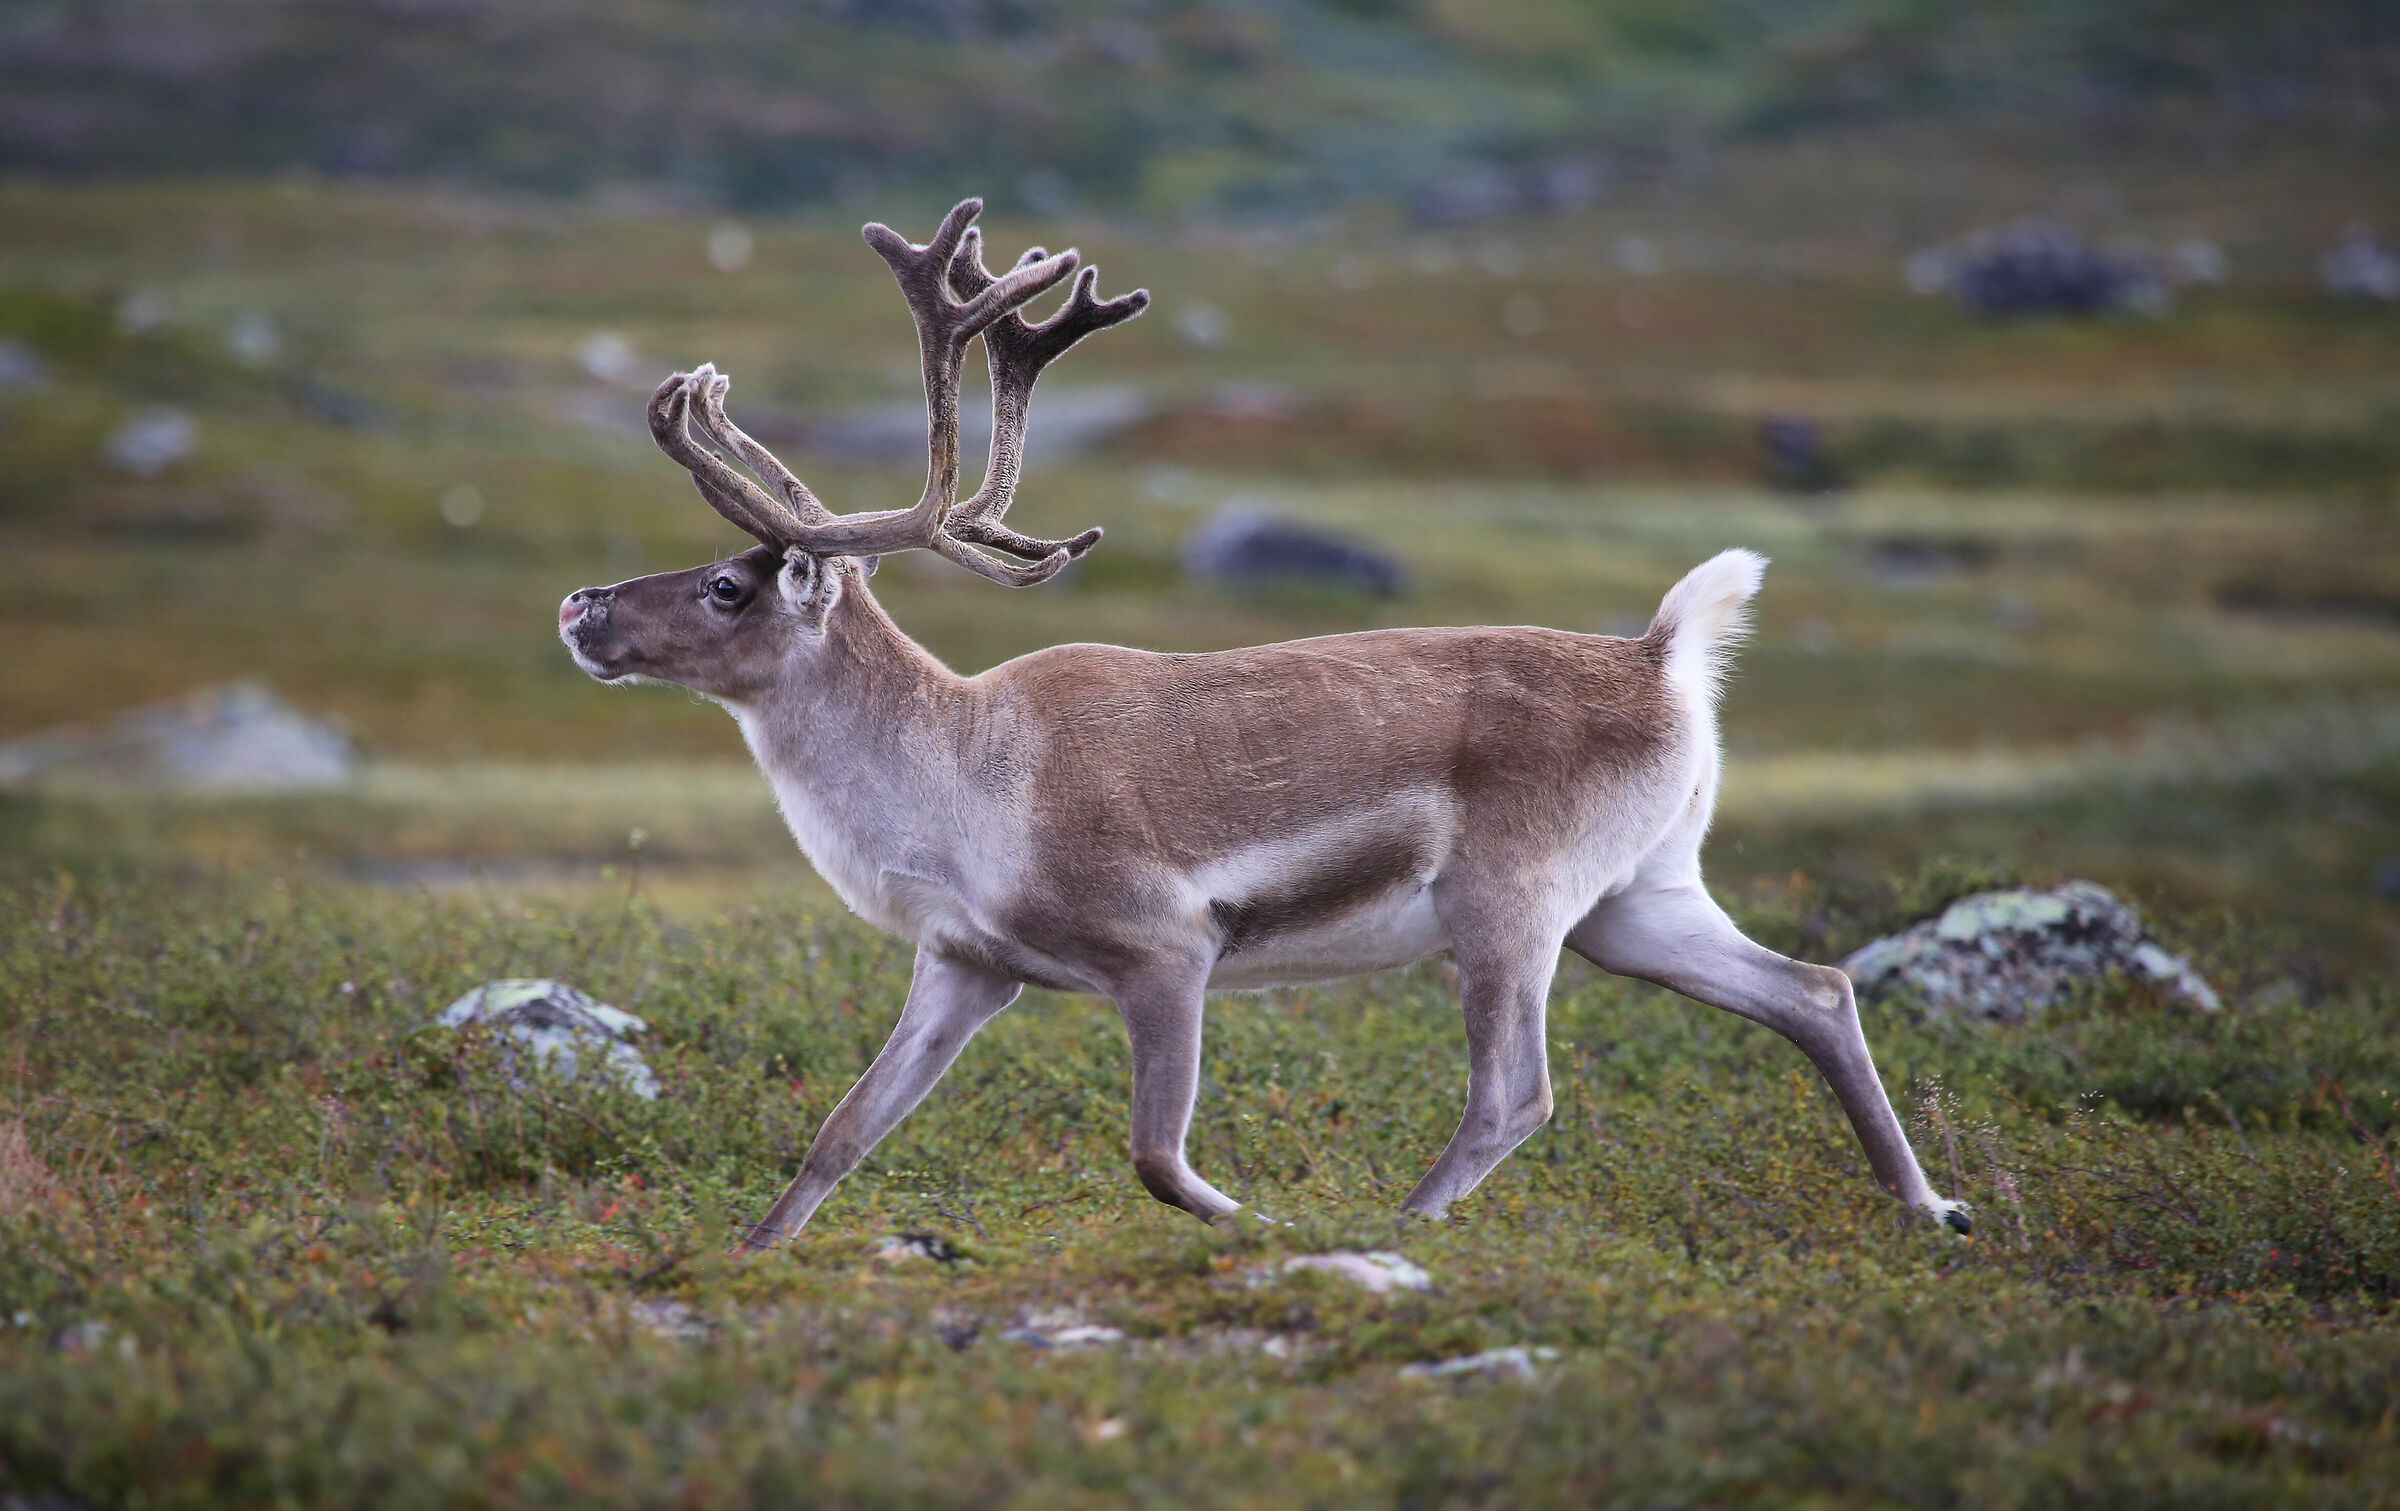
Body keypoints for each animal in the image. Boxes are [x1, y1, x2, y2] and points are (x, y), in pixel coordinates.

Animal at [557, 198, 1972, 1251]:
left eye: (730, 583)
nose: (578, 602)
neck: (954, 778)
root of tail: (1666, 658)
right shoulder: (965, 962)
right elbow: (841, 1131)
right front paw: (746, 1260)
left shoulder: (1165, 946)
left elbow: (1154, 1151)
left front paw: (1263, 1221)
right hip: (1641, 897)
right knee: (1817, 989)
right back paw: (1929, 1205)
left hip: (1508, 899)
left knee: (1515, 1091)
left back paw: (1399, 1225)